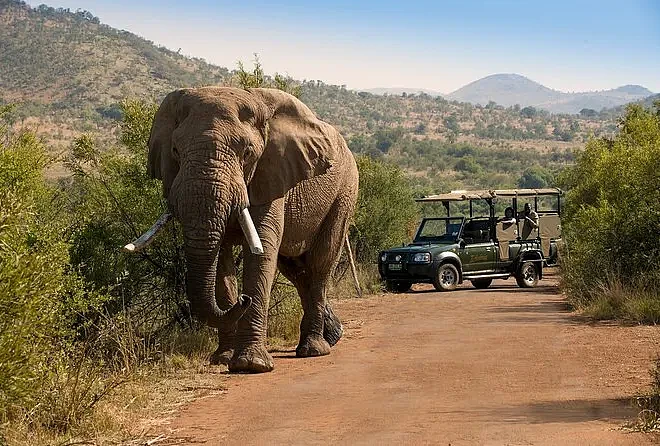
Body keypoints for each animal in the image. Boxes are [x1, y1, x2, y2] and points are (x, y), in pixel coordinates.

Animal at [126, 86, 358, 372]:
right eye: (175, 151)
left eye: (247, 154)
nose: (243, 300)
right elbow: (221, 260)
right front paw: (223, 359)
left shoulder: (271, 174)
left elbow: (262, 251)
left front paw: (251, 365)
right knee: (295, 269)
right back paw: (333, 335)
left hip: (345, 192)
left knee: (320, 263)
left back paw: (314, 349)